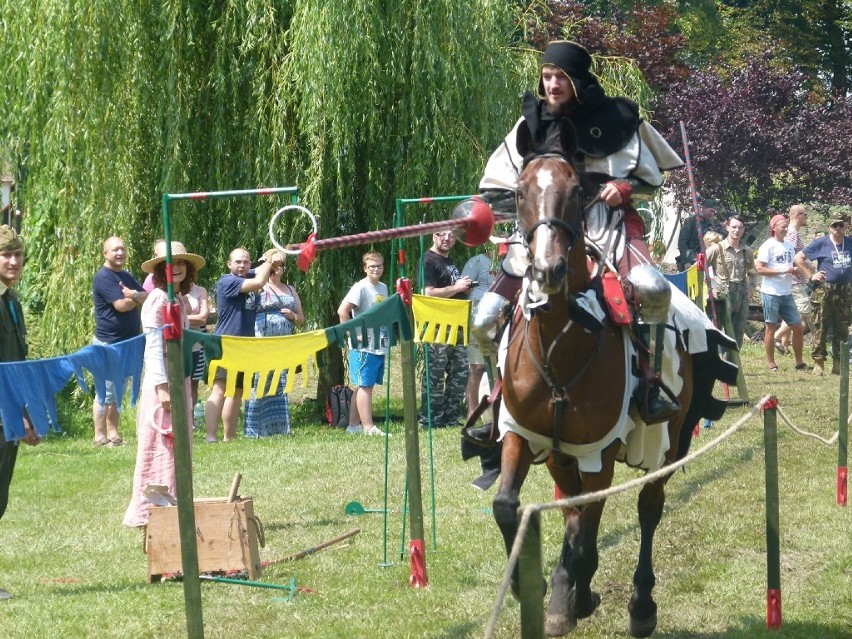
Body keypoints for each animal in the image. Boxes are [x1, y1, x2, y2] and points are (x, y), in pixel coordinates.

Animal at [496, 119, 728, 636]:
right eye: (519, 193)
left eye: (576, 193)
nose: (547, 269)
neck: (560, 348)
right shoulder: (524, 435)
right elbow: (508, 507)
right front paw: (532, 586)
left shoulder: (596, 452)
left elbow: (587, 533)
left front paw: (571, 597)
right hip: (563, 456)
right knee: (575, 508)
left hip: (669, 440)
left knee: (647, 509)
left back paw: (640, 604)